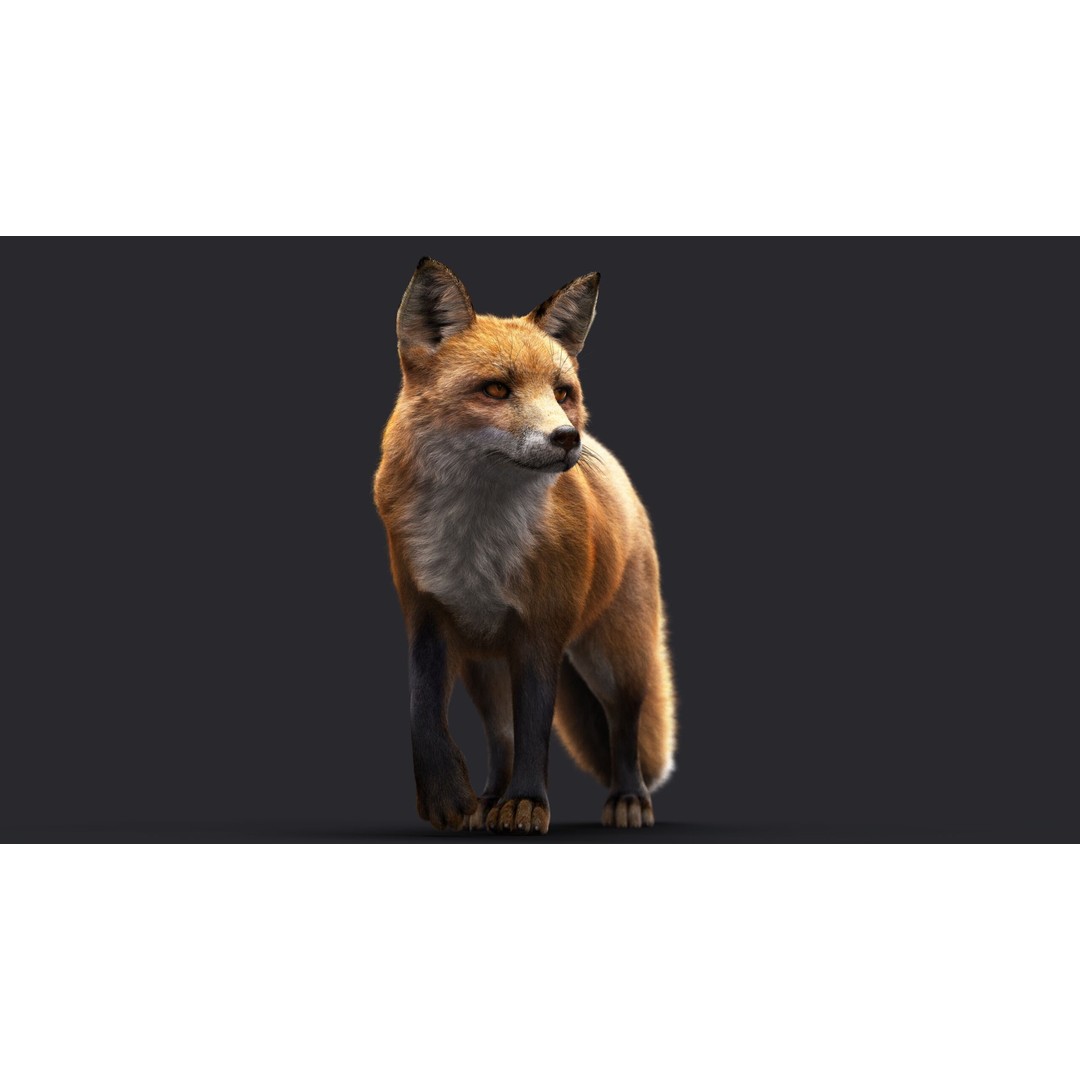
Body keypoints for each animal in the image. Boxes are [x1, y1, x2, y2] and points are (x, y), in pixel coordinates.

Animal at [373, 257, 676, 834]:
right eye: (495, 390)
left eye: (562, 393)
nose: (566, 438)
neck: (474, 545)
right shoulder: (425, 614)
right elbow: (423, 709)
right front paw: (447, 796)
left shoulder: (541, 632)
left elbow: (537, 729)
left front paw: (529, 804)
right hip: (486, 666)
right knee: (501, 736)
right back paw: (490, 798)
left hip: (614, 656)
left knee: (623, 727)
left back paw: (628, 798)